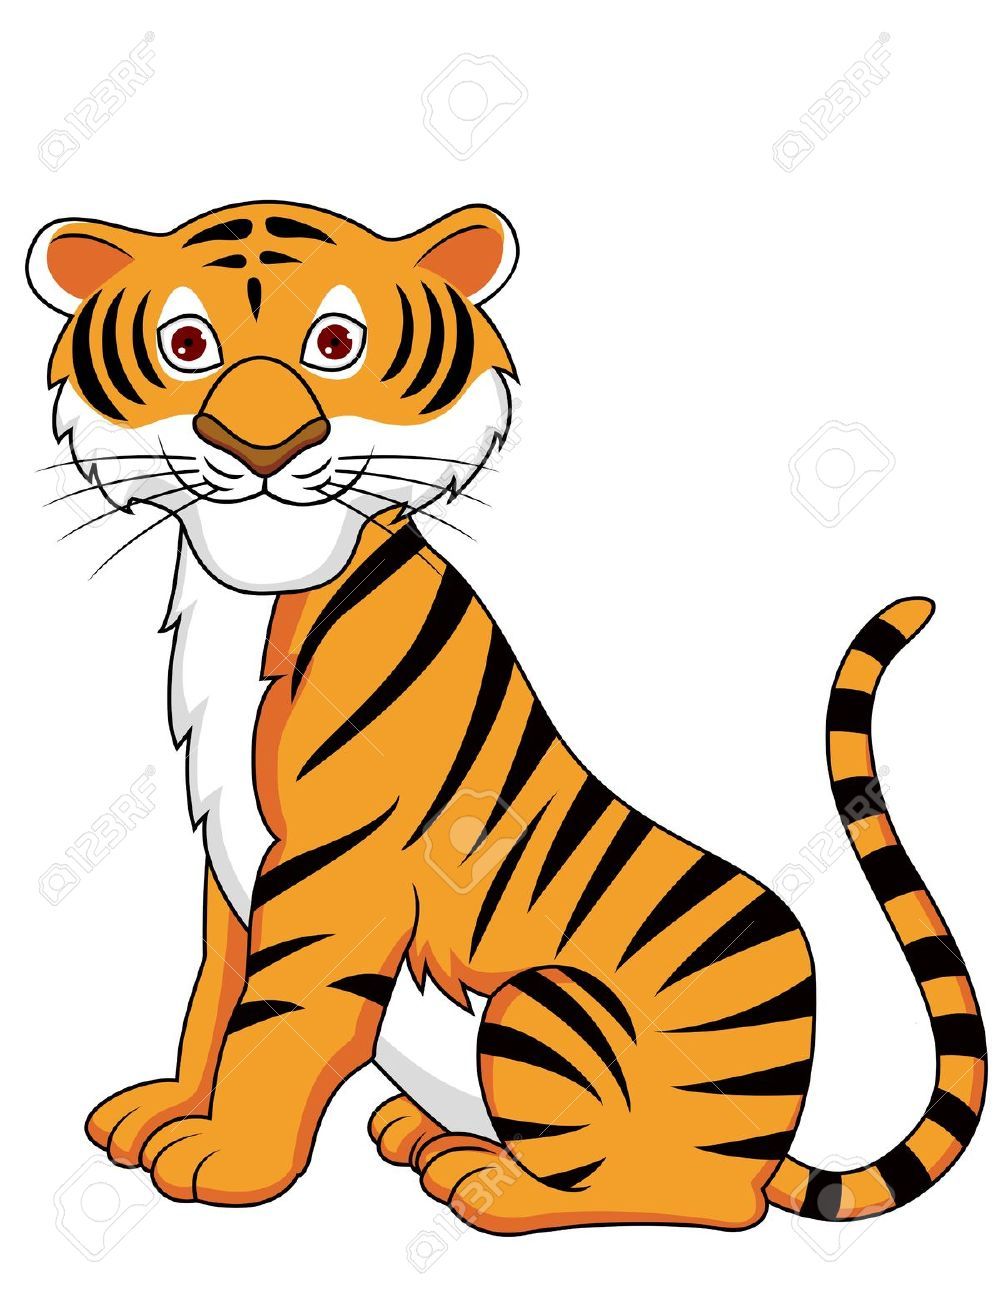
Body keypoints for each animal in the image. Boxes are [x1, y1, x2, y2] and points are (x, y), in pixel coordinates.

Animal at [27, 202, 985, 1233]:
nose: (261, 446)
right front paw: (167, 1110)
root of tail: (776, 1147)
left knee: (689, 1196)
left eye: (335, 343)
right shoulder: (232, 856)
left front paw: (226, 1160)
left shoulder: (340, 862)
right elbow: (214, 991)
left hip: (546, 1003)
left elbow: (278, 1015)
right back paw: (423, 1133)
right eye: (187, 345)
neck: (256, 584)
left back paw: (485, 1181)